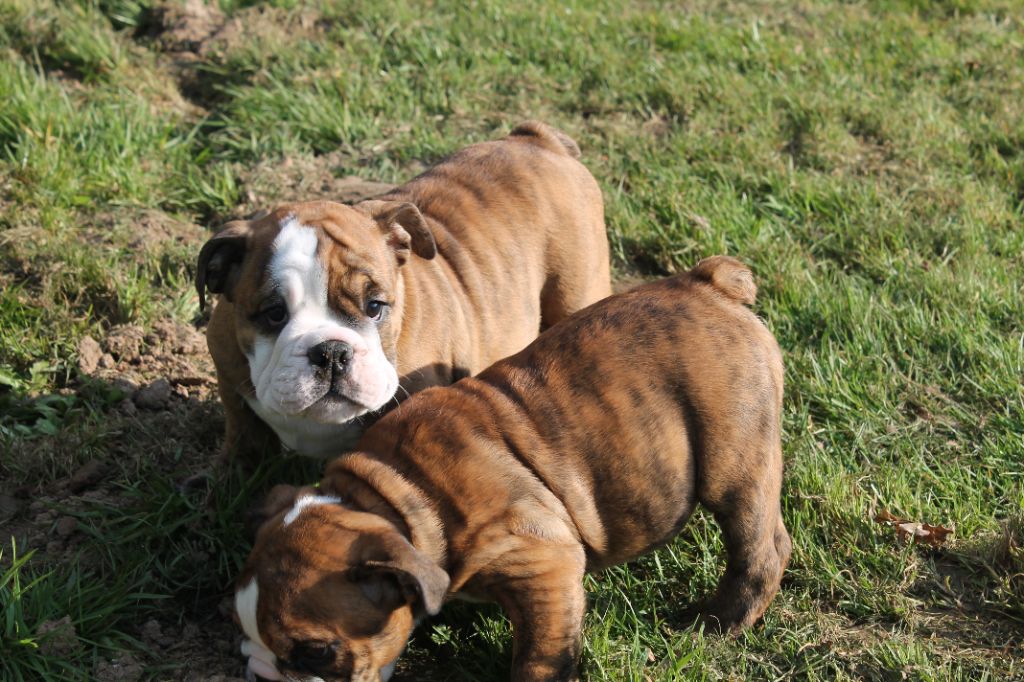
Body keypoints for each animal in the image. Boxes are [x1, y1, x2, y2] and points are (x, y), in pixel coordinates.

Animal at [197, 122, 611, 460]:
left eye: (375, 306)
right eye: (274, 313)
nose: (331, 352)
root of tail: (535, 139)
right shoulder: (229, 381)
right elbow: (242, 439)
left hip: (576, 291)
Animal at [234, 256, 791, 681]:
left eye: (315, 652)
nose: (262, 674)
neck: (396, 497)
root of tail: (709, 283)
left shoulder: (543, 563)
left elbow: (540, 656)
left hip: (733, 459)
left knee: (758, 548)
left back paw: (714, 624)